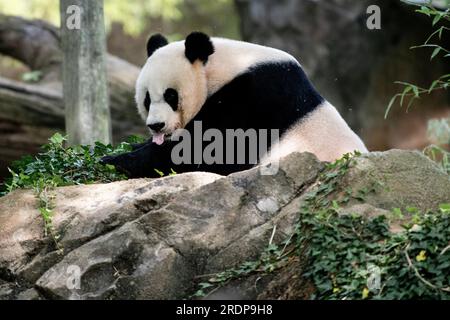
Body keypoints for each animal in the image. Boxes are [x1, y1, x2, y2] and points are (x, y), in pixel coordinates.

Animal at [103, 32, 370, 178]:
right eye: (147, 99)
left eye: (171, 96)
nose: (156, 126)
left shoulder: (251, 98)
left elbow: (207, 151)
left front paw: (116, 160)